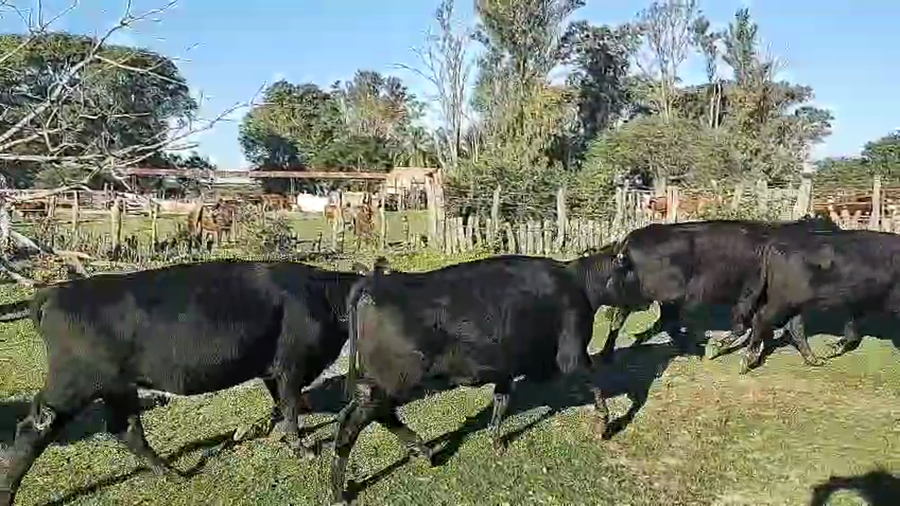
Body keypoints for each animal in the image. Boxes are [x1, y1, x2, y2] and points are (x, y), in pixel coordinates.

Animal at [0, 260, 360, 506]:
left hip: (118, 387)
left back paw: (171, 473)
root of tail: (54, 291)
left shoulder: (273, 369)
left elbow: (281, 404)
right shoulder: (291, 365)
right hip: (73, 384)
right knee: (34, 429)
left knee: (125, 429)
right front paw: (302, 448)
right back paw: (7, 493)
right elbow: (289, 405)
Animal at [329, 251, 627, 505]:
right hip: (395, 377)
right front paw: (603, 424)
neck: (577, 283)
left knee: (374, 413)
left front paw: (496, 441)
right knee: (353, 421)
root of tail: (374, 283)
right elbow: (594, 383)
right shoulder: (572, 354)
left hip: (381, 381)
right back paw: (340, 493)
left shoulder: (506, 367)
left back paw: (423, 451)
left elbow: (501, 400)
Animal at [600, 216, 854, 371]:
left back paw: (613, 352)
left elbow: (796, 328)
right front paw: (718, 349)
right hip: (656, 296)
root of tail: (630, 238)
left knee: (636, 319)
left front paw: (814, 359)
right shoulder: (750, 294)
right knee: (631, 318)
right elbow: (744, 325)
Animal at [733, 229, 900, 373]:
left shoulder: (859, 303)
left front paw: (833, 348)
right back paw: (747, 362)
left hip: (794, 302)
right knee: (761, 318)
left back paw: (814, 360)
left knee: (795, 326)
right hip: (783, 300)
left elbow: (852, 330)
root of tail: (774, 244)